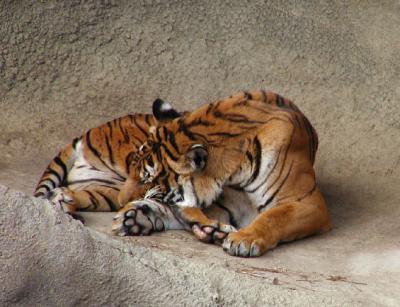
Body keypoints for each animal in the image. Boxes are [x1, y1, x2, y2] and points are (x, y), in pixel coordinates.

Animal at [111, 90, 332, 258]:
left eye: (147, 179)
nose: (120, 201)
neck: (236, 172)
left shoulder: (308, 202)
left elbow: (273, 216)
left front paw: (243, 239)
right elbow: (183, 211)